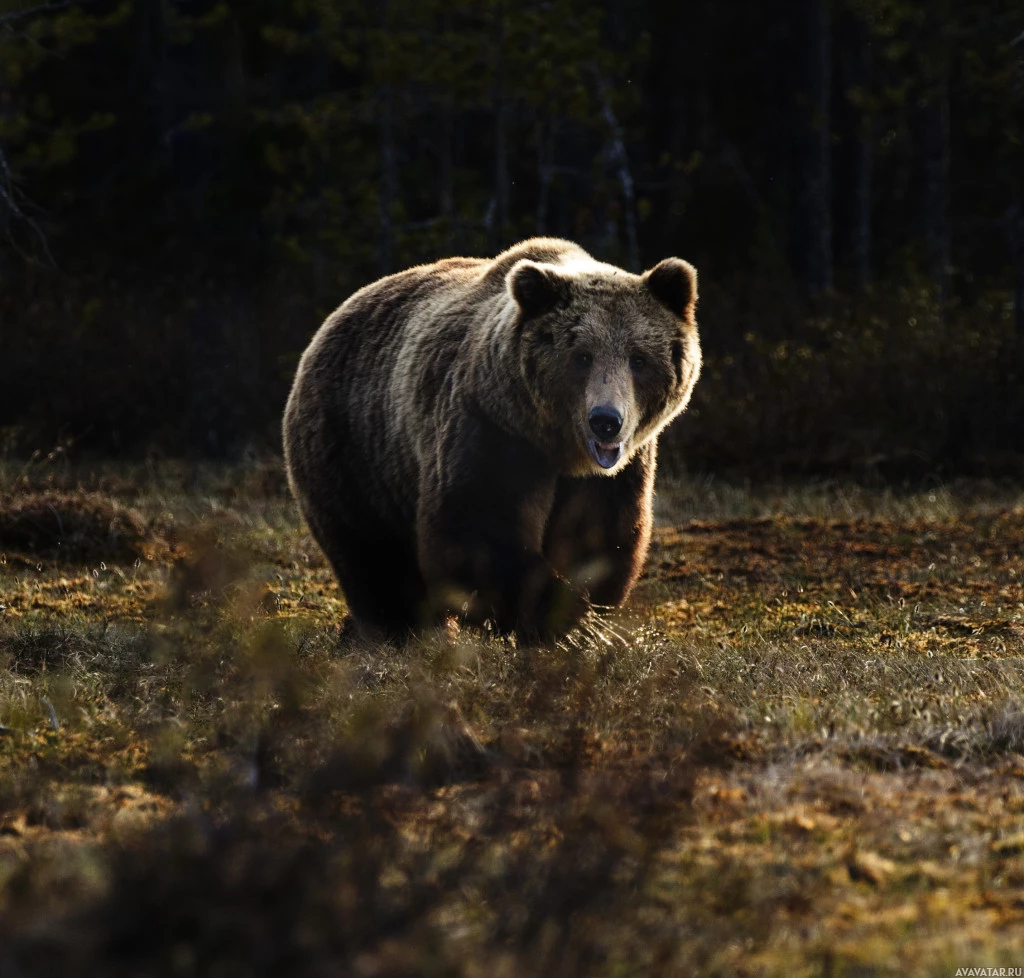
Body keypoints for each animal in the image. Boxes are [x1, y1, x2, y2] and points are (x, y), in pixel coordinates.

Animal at [284, 237, 700, 643]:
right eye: (581, 356)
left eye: (638, 359)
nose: (606, 422)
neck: (558, 447)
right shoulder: (491, 429)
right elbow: (477, 529)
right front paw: (563, 621)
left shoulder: (615, 472)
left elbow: (599, 536)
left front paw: (584, 616)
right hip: (354, 446)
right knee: (371, 553)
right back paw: (398, 628)